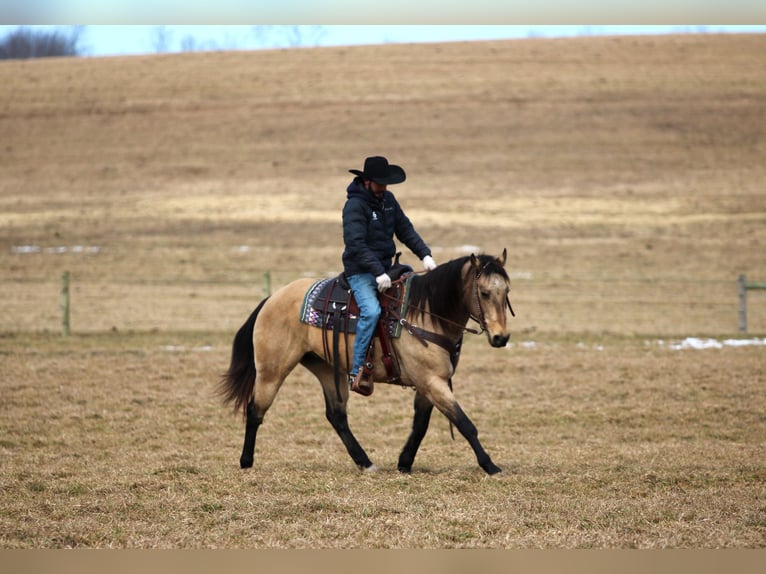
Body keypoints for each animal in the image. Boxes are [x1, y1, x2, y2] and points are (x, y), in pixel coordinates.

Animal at [218, 249, 515, 475]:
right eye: (484, 292)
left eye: (506, 291)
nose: (501, 337)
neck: (427, 313)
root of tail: (272, 299)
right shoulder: (432, 382)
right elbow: (465, 423)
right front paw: (490, 466)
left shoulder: (430, 383)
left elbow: (420, 426)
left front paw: (404, 463)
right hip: (272, 370)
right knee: (256, 410)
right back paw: (246, 461)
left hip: (328, 370)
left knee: (336, 416)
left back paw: (365, 462)